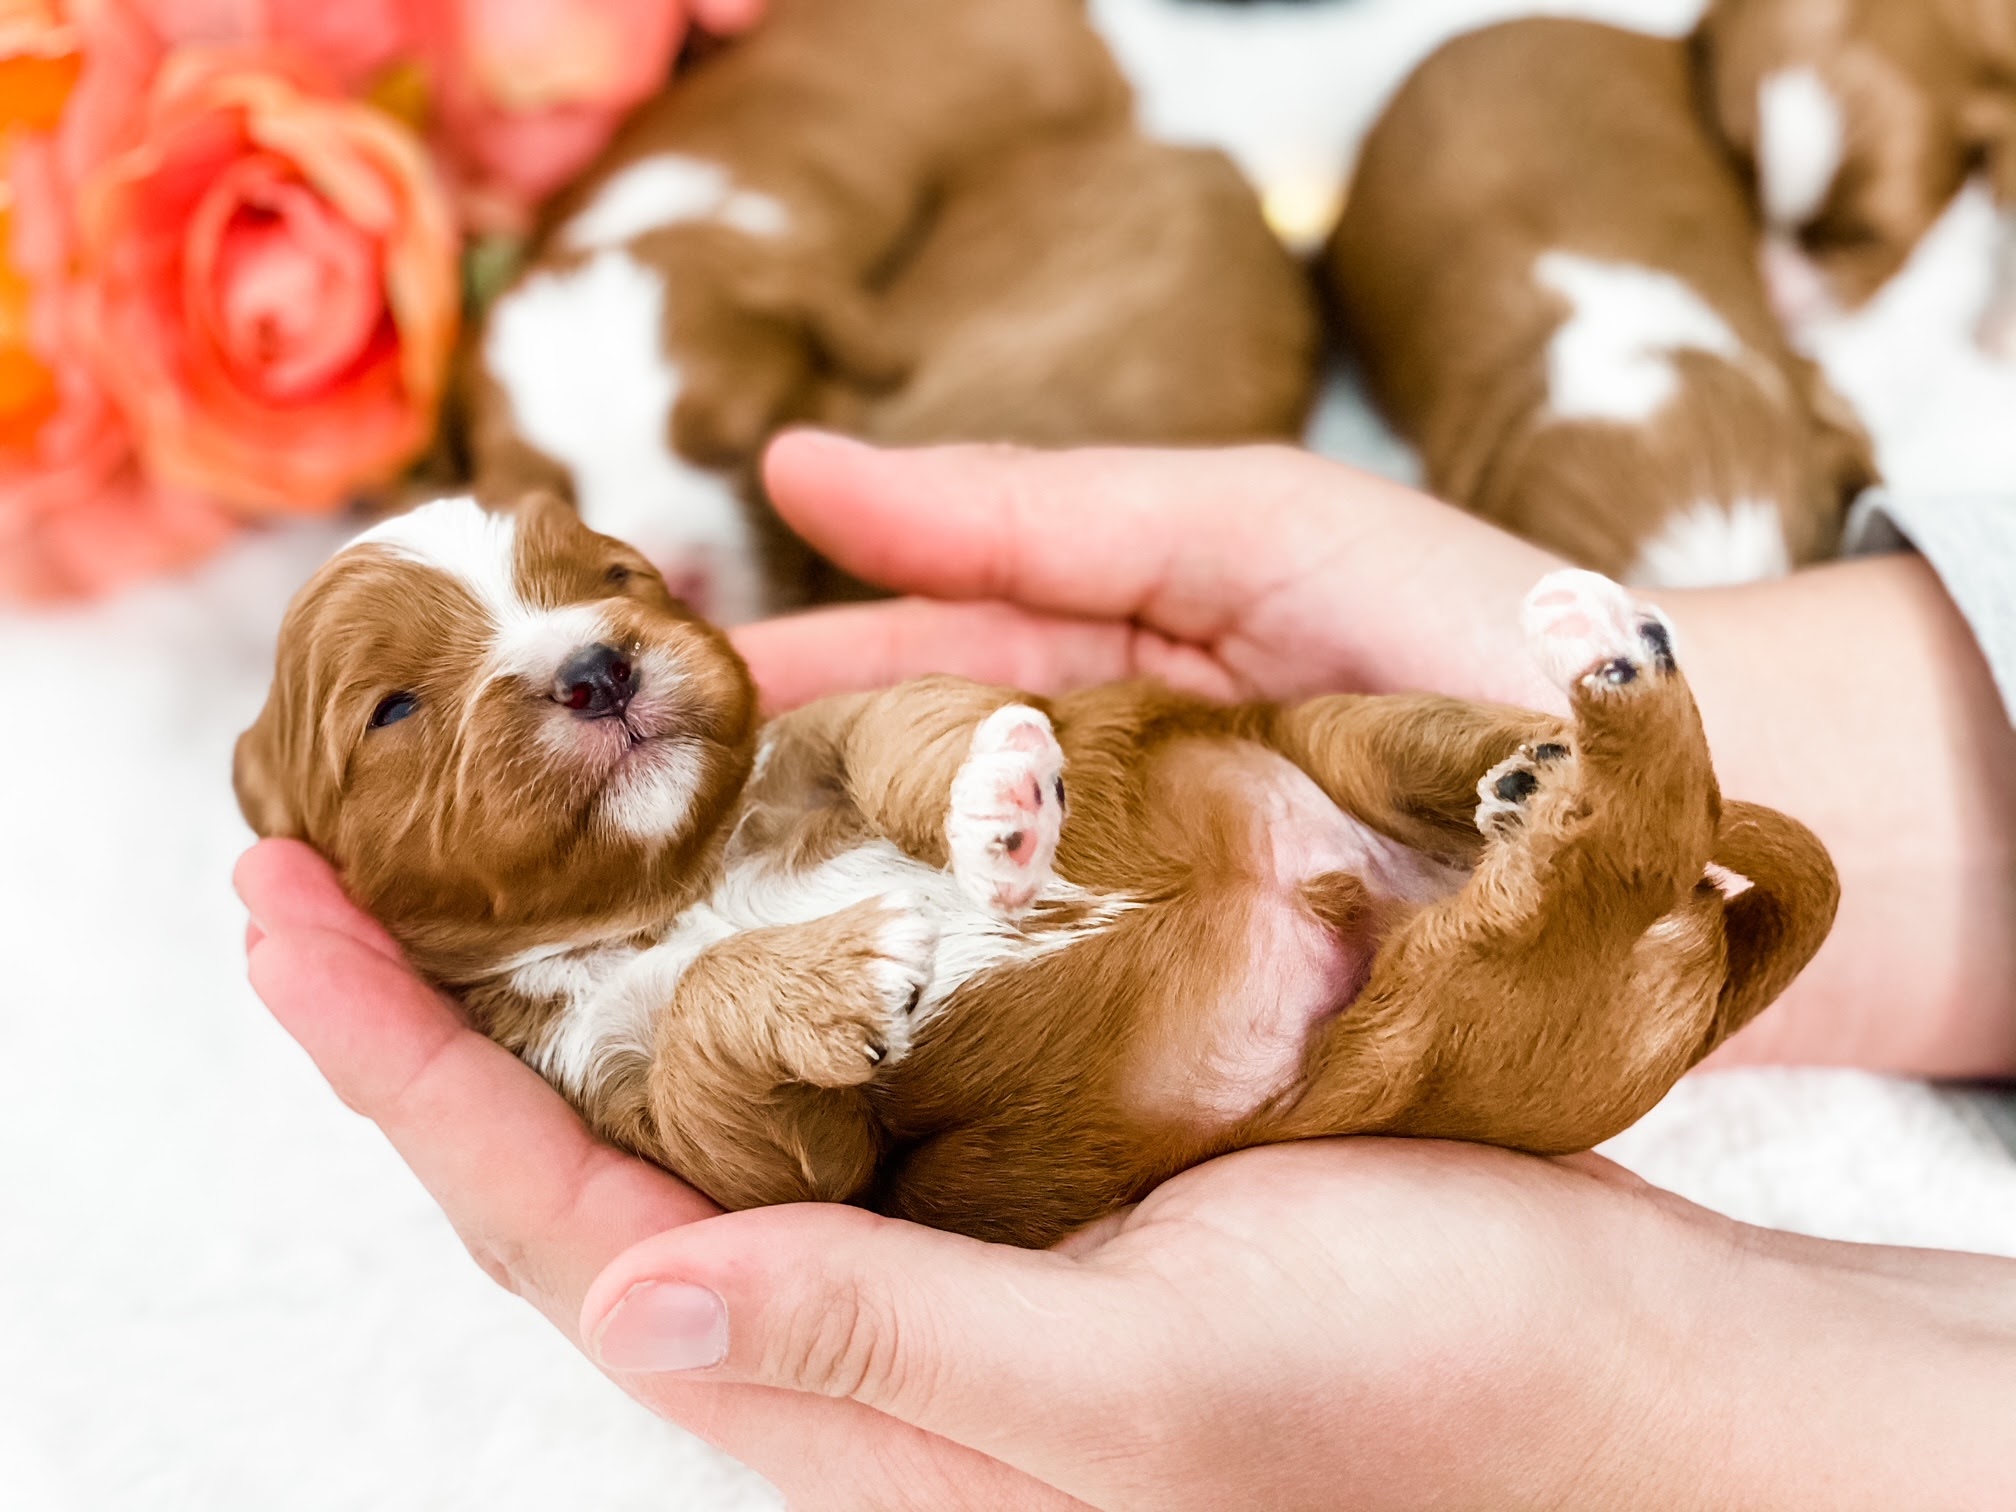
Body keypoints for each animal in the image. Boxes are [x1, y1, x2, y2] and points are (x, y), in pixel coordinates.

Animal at [235, 491, 1846, 1249]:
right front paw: (846, 965)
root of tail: (1692, 960)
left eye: (615, 580)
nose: (598, 665)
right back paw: (1579, 740)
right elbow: (720, 1074)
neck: (682, 880)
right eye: (392, 709)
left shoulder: (824, 731)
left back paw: (1581, 708)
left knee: (1644, 812)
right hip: (1459, 1024)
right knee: (1610, 857)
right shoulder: (687, 1141)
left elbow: (914, 724)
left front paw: (999, 803)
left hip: (1353, 738)